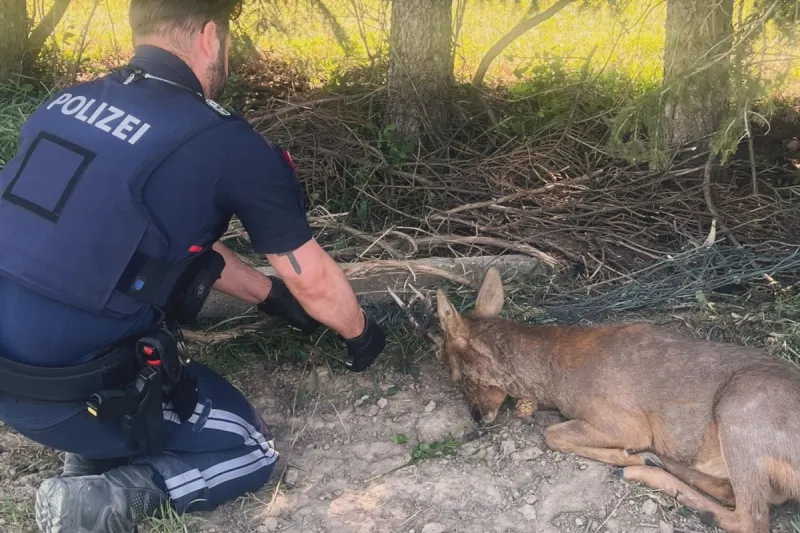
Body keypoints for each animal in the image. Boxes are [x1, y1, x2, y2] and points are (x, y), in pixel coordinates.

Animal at [431, 267, 800, 533]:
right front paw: (639, 456)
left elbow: (552, 435)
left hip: (741, 410)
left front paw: (629, 455)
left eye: (455, 374)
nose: (478, 417)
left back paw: (642, 469)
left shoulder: (624, 421)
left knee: (751, 518)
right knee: (737, 493)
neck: (557, 376)